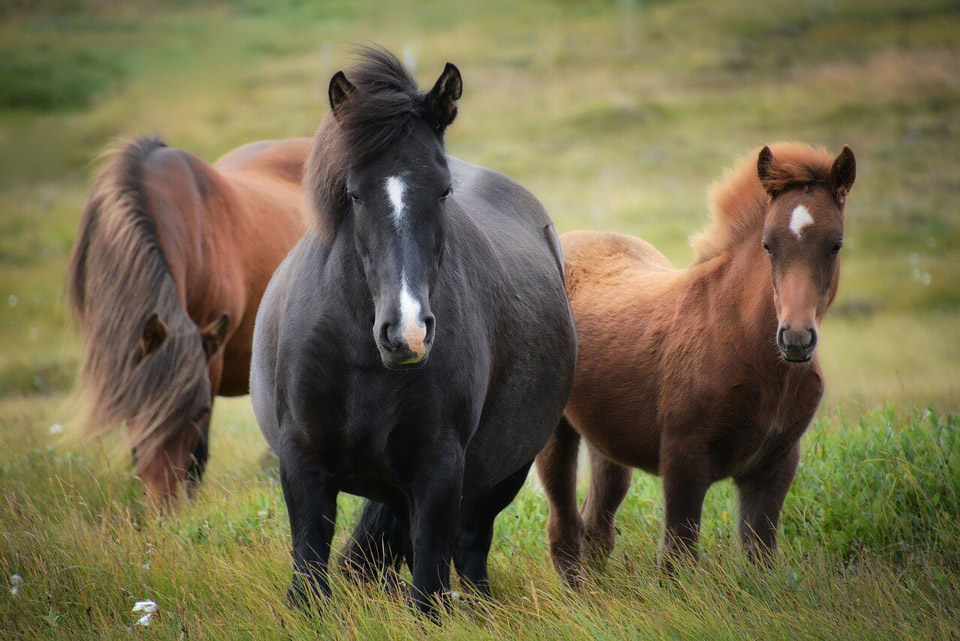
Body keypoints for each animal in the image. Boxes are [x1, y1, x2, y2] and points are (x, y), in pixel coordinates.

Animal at [250, 48, 577, 616]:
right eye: (354, 194)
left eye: (443, 191)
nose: (408, 334)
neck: (360, 357)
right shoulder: (303, 464)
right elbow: (309, 576)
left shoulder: (439, 470)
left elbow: (428, 586)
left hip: (503, 472)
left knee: (469, 547)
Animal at [536, 143, 856, 586]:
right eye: (768, 244)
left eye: (836, 244)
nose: (795, 339)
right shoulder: (684, 460)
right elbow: (677, 559)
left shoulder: (776, 464)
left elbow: (760, 555)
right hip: (554, 433)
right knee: (563, 526)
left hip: (607, 441)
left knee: (596, 525)